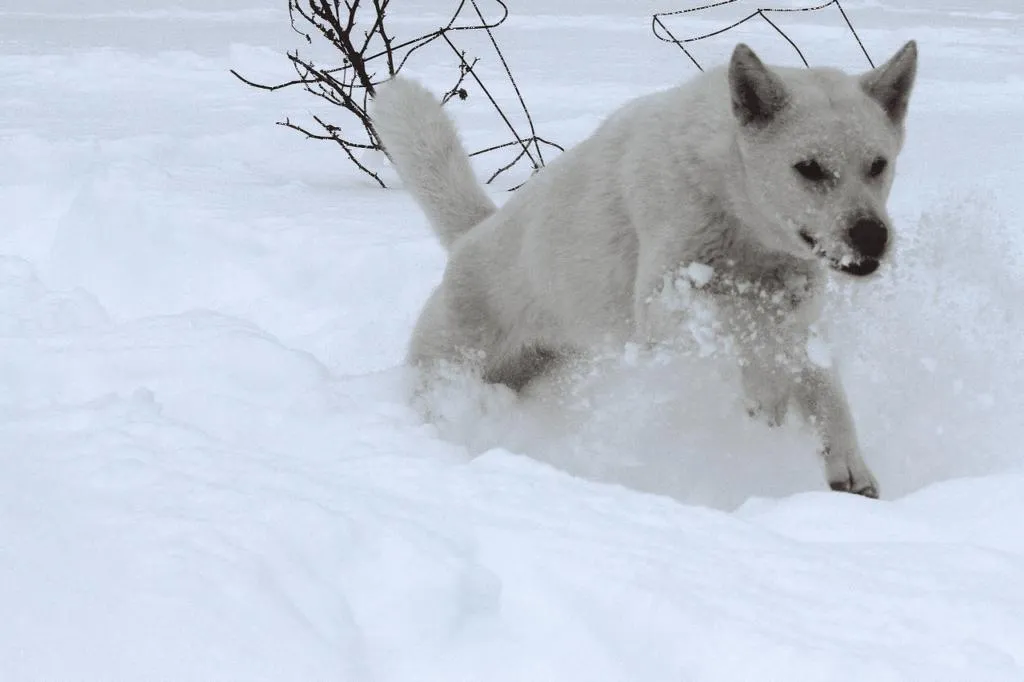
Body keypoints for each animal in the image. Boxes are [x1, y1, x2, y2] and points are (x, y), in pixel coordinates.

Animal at [374, 41, 921, 499]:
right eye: (809, 168)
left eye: (878, 164)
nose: (872, 235)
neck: (735, 208)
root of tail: (470, 236)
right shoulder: (668, 303)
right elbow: (743, 333)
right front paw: (764, 394)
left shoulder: (800, 319)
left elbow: (825, 391)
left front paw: (849, 468)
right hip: (451, 364)